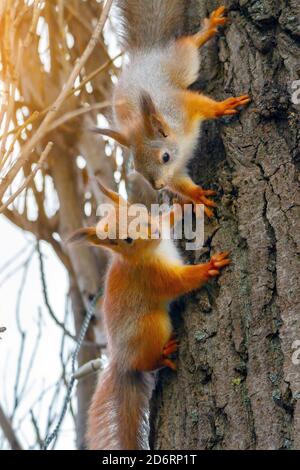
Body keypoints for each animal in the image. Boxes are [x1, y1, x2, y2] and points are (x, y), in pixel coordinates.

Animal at [70, 183, 230, 448]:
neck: (154, 249)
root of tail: (121, 360)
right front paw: (209, 267)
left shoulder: (162, 225)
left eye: (141, 215)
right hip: (151, 326)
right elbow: (180, 282)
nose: (153, 234)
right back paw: (163, 355)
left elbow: (169, 218)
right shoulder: (151, 277)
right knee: (146, 362)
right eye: (127, 240)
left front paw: (190, 202)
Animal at [94, 1, 251, 218]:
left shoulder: (182, 107)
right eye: (137, 168)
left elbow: (202, 105)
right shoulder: (174, 172)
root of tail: (145, 54)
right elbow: (180, 183)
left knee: (188, 45)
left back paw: (206, 30)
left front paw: (222, 106)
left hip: (180, 64)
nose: (159, 186)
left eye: (165, 157)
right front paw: (197, 196)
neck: (181, 142)